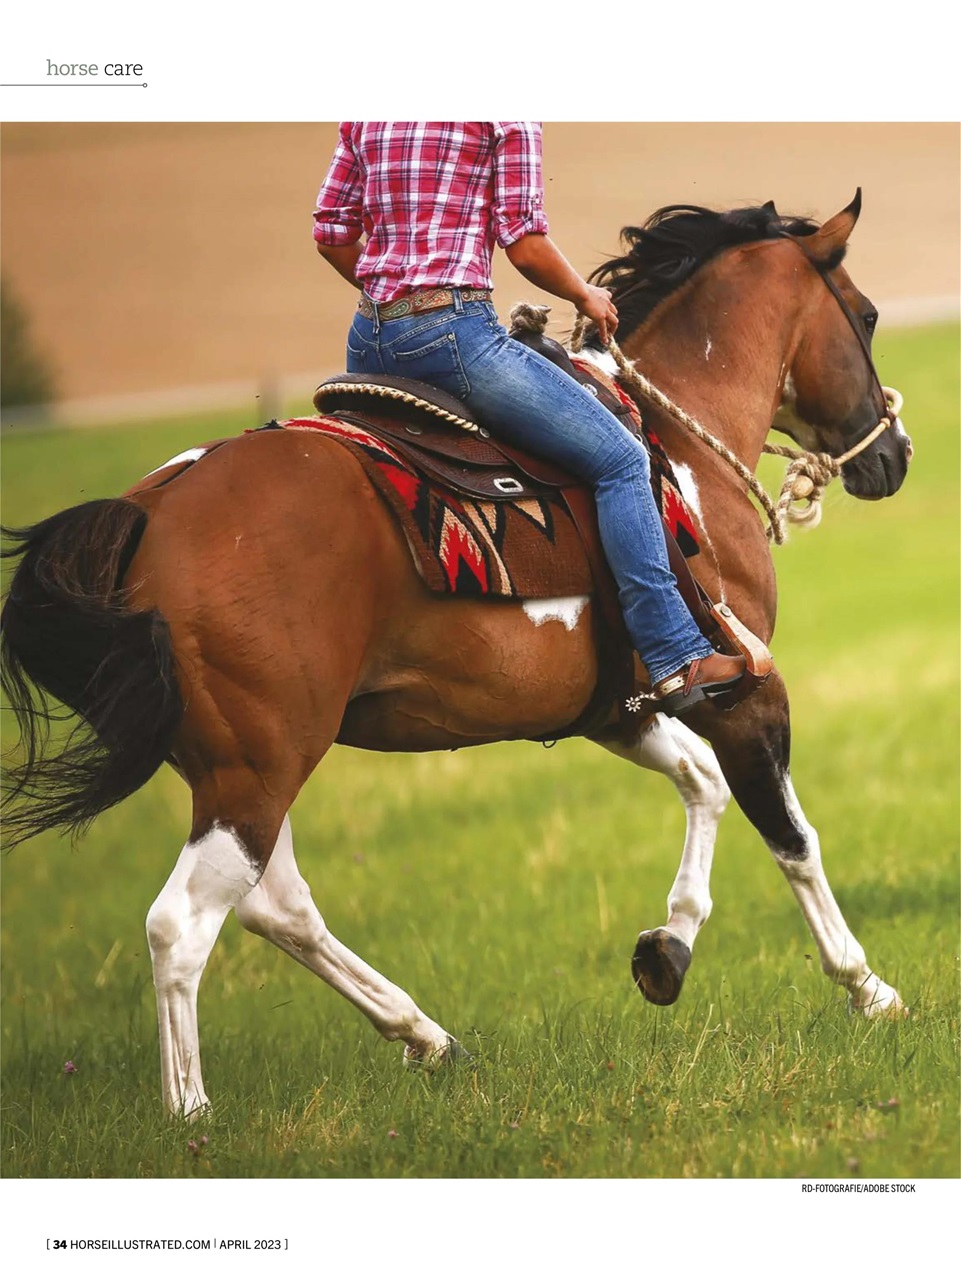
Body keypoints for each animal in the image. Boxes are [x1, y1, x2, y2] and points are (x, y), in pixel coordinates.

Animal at [1, 191, 913, 1117]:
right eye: (868, 315)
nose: (893, 454)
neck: (672, 448)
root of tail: (148, 512)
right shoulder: (746, 690)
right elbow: (790, 836)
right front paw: (867, 988)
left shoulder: (619, 708)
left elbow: (702, 786)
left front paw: (668, 948)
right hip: (257, 769)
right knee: (181, 924)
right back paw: (191, 1112)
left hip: (237, 767)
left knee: (276, 908)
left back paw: (426, 1037)